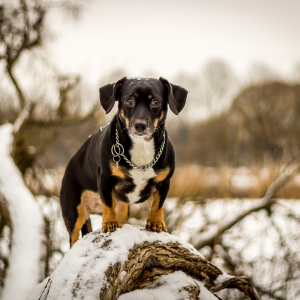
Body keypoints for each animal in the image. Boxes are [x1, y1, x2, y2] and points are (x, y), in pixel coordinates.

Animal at [59, 77, 188, 246]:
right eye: (128, 101)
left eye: (155, 101)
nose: (140, 125)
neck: (142, 145)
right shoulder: (105, 179)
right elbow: (108, 204)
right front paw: (109, 223)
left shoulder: (164, 182)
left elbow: (158, 204)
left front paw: (156, 223)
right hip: (73, 213)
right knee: (73, 238)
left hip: (122, 209)